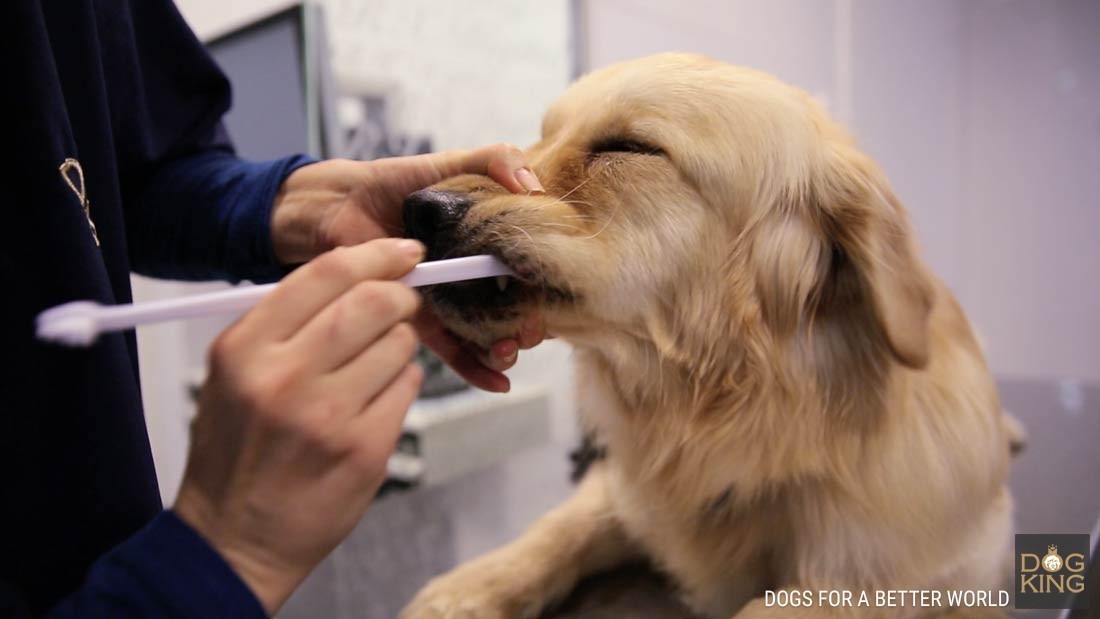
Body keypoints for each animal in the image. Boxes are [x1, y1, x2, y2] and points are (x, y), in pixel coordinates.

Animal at [396, 54, 1012, 619]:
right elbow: (560, 527)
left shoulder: (888, 573)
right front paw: (467, 588)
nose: (420, 208)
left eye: (629, 147)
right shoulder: (624, 490)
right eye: (541, 136)